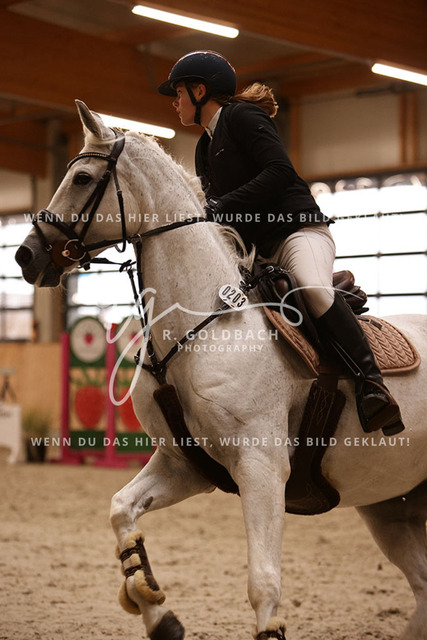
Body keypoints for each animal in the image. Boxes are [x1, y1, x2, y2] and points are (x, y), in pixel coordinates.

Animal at [15, 100, 427, 640]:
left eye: (82, 178)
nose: (25, 256)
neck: (199, 327)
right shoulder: (184, 465)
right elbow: (121, 510)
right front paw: (157, 611)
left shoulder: (261, 468)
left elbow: (264, 582)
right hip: (393, 504)